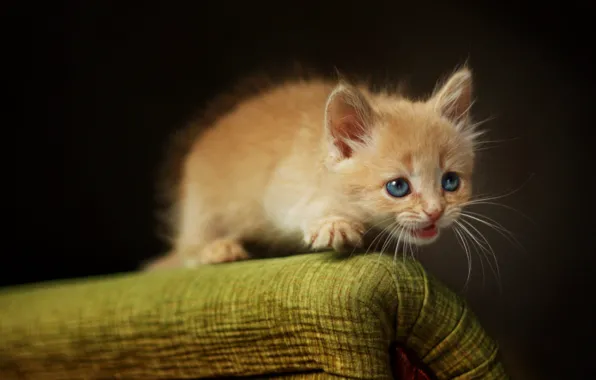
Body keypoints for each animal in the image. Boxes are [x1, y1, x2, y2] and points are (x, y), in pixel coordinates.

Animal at [143, 67, 480, 272]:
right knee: (188, 250)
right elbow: (296, 210)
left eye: (450, 182)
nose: (436, 211)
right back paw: (216, 249)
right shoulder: (280, 187)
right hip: (201, 208)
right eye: (398, 187)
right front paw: (332, 223)